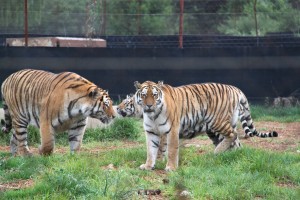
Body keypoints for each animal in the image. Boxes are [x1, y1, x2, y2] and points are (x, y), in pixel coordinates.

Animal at [135, 80, 278, 171]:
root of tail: (235, 89)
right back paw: (229, 157)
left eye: (154, 95)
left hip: (217, 122)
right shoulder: (151, 132)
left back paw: (217, 152)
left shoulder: (171, 130)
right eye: (144, 95)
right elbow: (151, 150)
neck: (153, 115)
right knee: (236, 143)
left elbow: (170, 150)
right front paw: (148, 166)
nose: (149, 105)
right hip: (216, 129)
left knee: (233, 134)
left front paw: (171, 167)